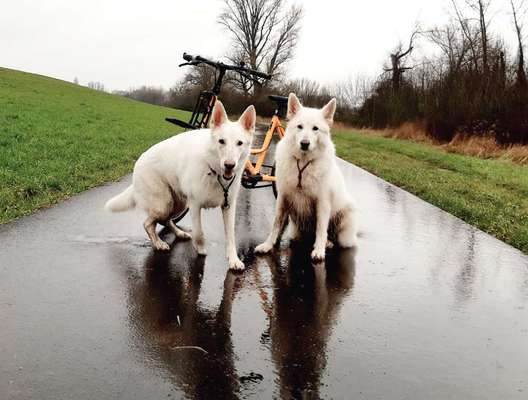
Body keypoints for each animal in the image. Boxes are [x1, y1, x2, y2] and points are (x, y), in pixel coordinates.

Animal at [104, 101, 255, 270]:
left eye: (239, 143)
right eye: (222, 141)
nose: (229, 165)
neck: (214, 171)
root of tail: (138, 163)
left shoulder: (228, 207)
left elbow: (230, 236)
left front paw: (233, 259)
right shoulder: (195, 205)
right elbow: (199, 233)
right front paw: (200, 250)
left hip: (178, 204)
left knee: (166, 220)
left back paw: (179, 234)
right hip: (164, 204)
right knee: (148, 224)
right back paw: (159, 243)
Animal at [254, 94, 356, 262]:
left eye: (315, 128)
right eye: (300, 127)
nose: (304, 144)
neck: (302, 163)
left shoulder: (322, 203)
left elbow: (321, 228)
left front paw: (319, 250)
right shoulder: (283, 198)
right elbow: (276, 224)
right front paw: (268, 245)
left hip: (345, 218)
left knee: (332, 236)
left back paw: (327, 243)